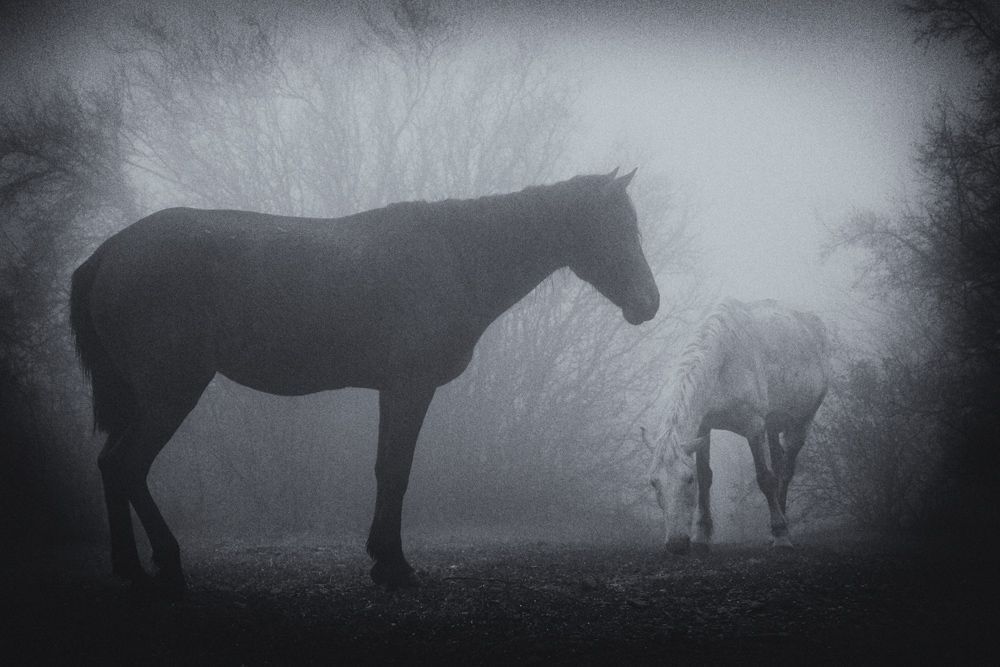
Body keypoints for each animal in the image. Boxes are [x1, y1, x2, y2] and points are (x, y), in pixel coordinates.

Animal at [70, 168, 659, 593]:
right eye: (614, 229)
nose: (648, 305)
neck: (454, 256)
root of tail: (109, 252)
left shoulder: (393, 391)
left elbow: (385, 469)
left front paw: (381, 559)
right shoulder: (409, 387)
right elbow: (395, 472)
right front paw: (394, 566)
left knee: (110, 466)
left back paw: (131, 567)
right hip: (171, 392)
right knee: (126, 466)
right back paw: (167, 564)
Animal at [642, 298, 830, 554]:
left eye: (688, 480)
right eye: (654, 482)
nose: (676, 544)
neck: (723, 360)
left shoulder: (754, 427)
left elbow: (765, 479)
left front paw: (781, 535)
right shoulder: (704, 428)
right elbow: (706, 476)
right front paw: (701, 535)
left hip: (801, 423)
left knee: (786, 472)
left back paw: (782, 529)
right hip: (772, 425)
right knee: (779, 464)